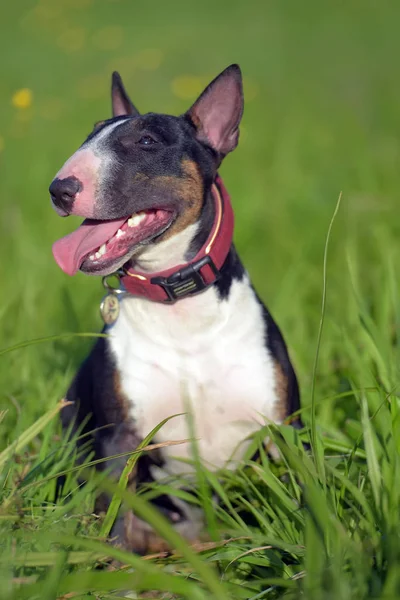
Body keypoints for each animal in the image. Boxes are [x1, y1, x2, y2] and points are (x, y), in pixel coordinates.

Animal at [49, 64, 300, 552]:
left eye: (147, 141)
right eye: (90, 134)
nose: (59, 189)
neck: (182, 313)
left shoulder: (282, 429)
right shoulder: (121, 440)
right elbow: (115, 522)